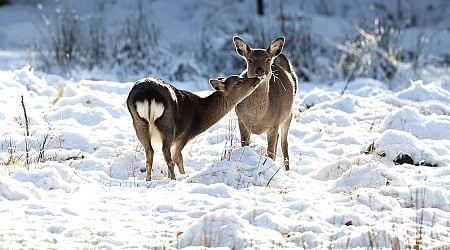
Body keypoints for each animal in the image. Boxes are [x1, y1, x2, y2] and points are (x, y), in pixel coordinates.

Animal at [126, 75, 260, 181]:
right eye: (238, 82)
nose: (257, 78)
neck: (200, 118)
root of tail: (148, 95)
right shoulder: (184, 135)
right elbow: (178, 158)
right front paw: (181, 176)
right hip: (168, 125)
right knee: (167, 155)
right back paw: (172, 179)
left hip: (138, 124)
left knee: (150, 152)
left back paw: (148, 180)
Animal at [232, 35, 298, 170]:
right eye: (250, 60)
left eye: (267, 59)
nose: (260, 70)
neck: (257, 117)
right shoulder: (241, 120)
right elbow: (244, 146)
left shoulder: (274, 123)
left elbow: (271, 153)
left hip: (288, 114)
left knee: (284, 144)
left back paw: (287, 169)